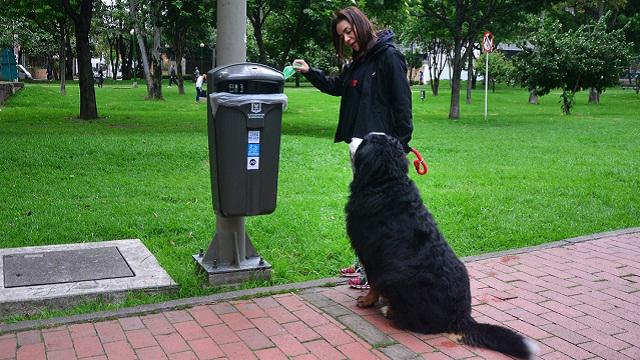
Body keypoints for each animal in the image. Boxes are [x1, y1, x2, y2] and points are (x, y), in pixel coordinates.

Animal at [348, 134, 536, 358]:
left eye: (365, 140)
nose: (351, 137)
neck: (386, 183)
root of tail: (462, 316)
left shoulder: (370, 253)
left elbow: (373, 282)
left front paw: (367, 300)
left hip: (397, 277)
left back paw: (390, 310)